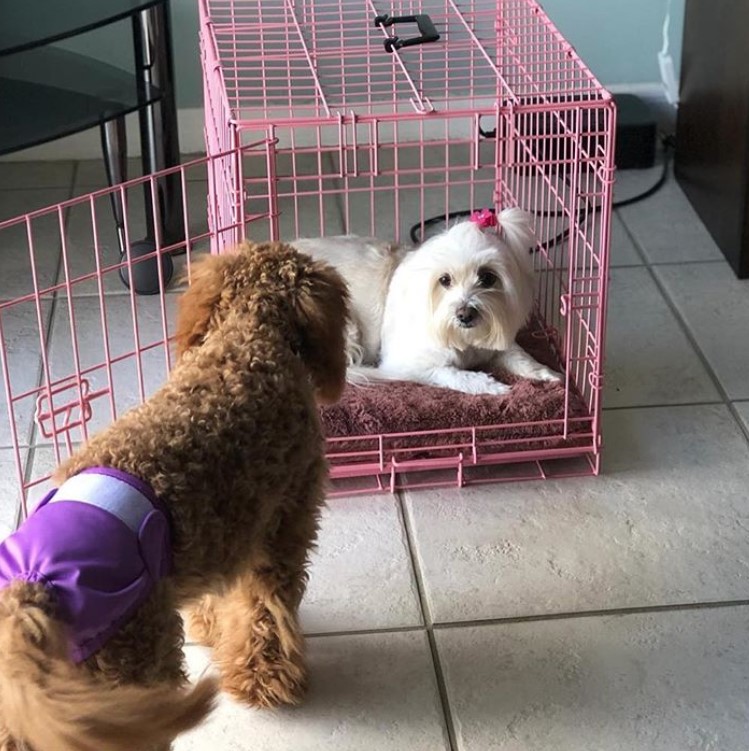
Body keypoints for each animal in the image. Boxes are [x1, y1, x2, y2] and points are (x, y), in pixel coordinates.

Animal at [0, 242, 350, 751]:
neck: (248, 337)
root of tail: (31, 592)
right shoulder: (283, 523)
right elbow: (264, 609)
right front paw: (265, 679)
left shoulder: (224, 535)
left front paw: (209, 626)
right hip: (132, 673)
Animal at [292, 206, 560, 394]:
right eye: (444, 280)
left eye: (487, 277)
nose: (465, 314)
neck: (465, 340)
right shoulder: (409, 363)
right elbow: (451, 374)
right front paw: (491, 386)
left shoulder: (494, 340)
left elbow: (518, 355)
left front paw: (546, 373)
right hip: (345, 327)